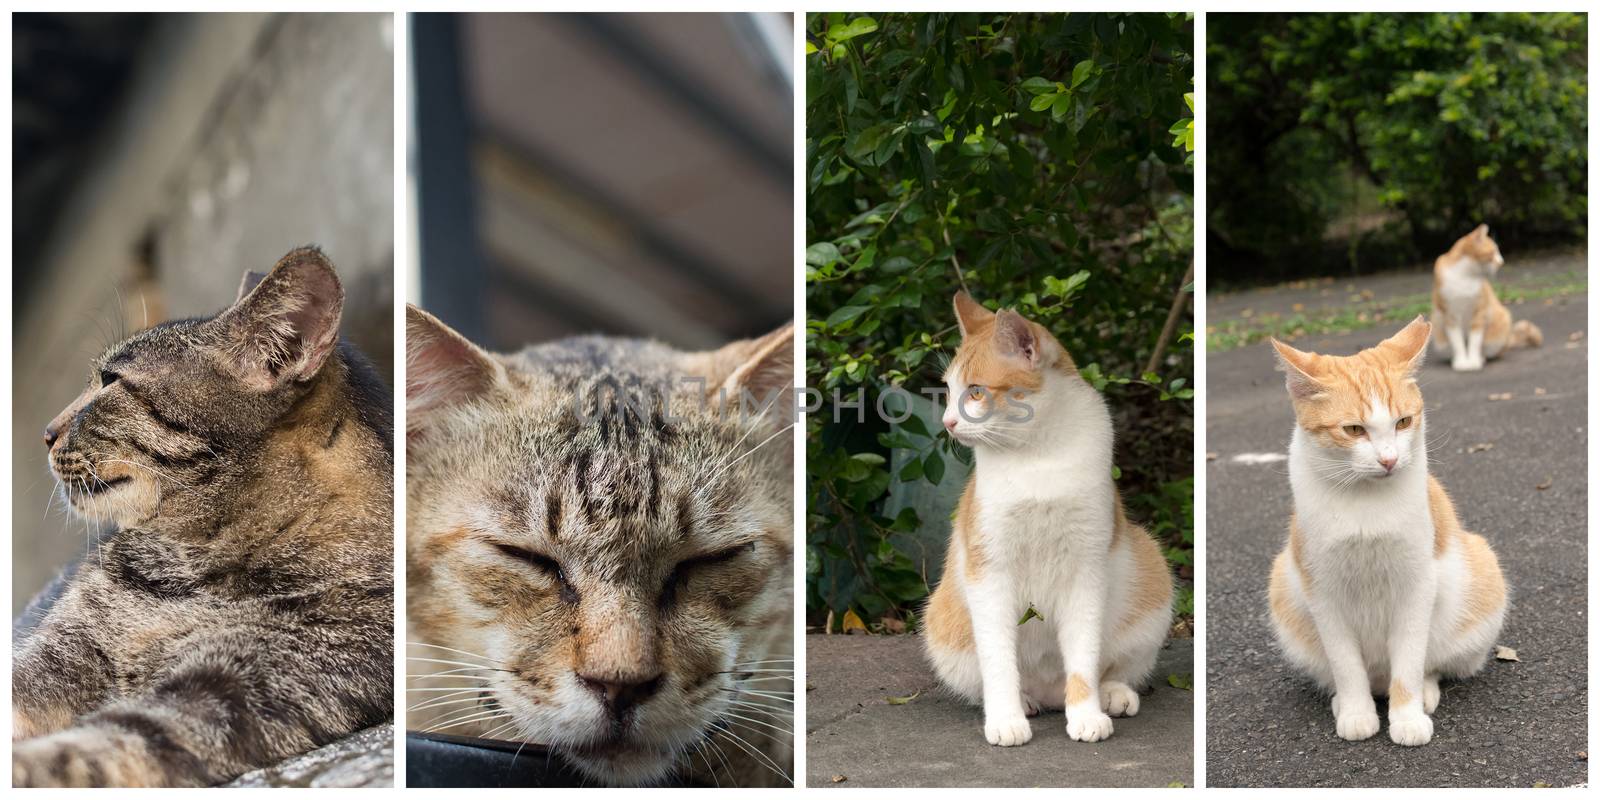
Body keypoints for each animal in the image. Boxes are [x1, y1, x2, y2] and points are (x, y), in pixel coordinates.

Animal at [12, 249, 393, 787]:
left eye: (111, 382)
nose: (46, 432)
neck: (191, 564)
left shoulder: (234, 688)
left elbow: (96, 746)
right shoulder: (57, 653)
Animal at [921, 291, 1171, 745]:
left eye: (976, 392)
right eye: (948, 391)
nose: (948, 422)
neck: (1037, 455)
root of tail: (1049, 693)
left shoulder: (1086, 569)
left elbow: (1084, 657)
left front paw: (1086, 713)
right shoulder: (989, 570)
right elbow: (998, 660)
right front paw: (1006, 719)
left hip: (1151, 570)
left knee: (1113, 667)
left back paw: (1112, 694)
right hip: (942, 625)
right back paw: (1024, 703)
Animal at [1267, 315, 1504, 745]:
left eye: (1403, 422)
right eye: (1354, 429)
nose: (1390, 459)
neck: (1366, 503)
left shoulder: (1416, 585)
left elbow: (1408, 662)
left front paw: (1407, 718)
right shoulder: (1323, 593)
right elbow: (1346, 666)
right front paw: (1356, 713)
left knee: (1428, 666)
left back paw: (1423, 694)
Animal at [1433, 225, 1542, 371]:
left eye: (1498, 252)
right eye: (1493, 251)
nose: (1502, 262)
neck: (1464, 275)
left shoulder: (1480, 312)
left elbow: (1475, 341)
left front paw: (1473, 361)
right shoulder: (1449, 315)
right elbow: (1457, 343)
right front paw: (1461, 362)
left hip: (1501, 323)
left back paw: (1481, 358)